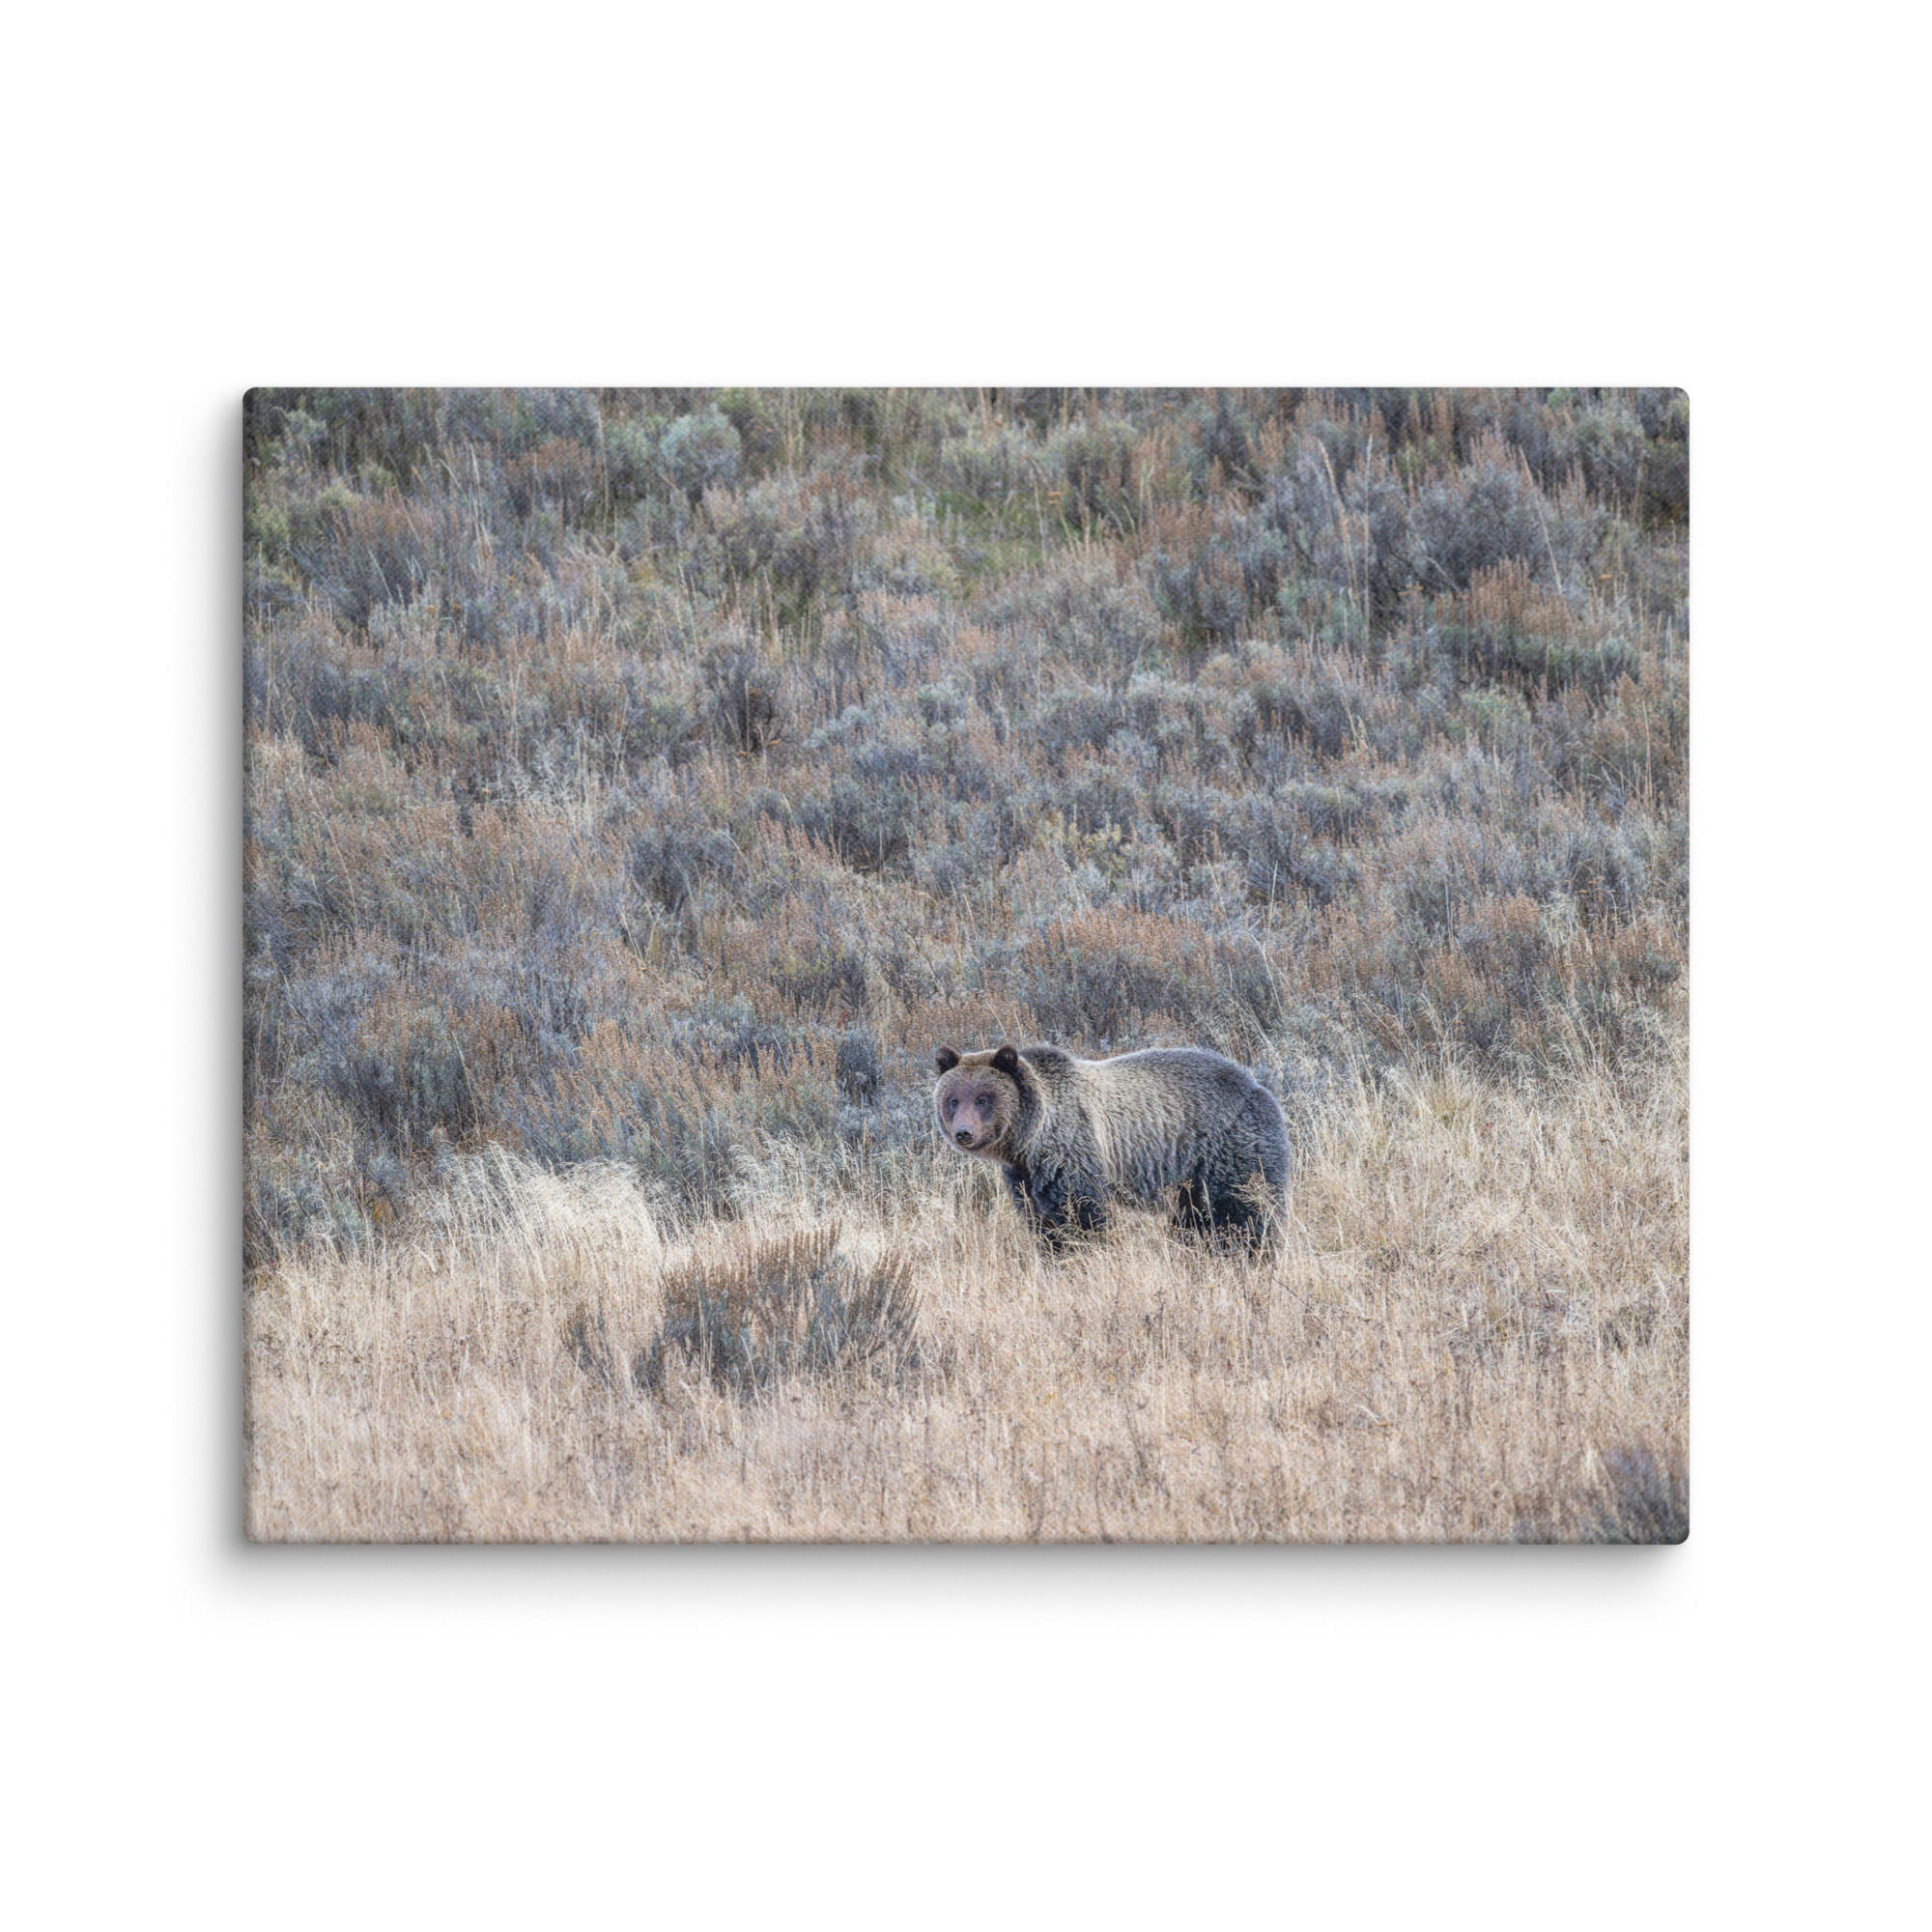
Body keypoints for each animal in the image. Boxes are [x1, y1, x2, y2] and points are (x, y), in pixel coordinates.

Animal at [933, 1041, 1290, 1252]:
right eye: (954, 1100)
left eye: (983, 1099)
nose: (964, 1133)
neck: (1029, 1140)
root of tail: (1257, 1085)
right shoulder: (1024, 1176)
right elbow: (1040, 1221)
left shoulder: (1072, 1153)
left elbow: (1082, 1215)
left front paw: (1083, 1253)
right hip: (1189, 1178)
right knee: (1194, 1219)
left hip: (1228, 1147)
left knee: (1243, 1210)